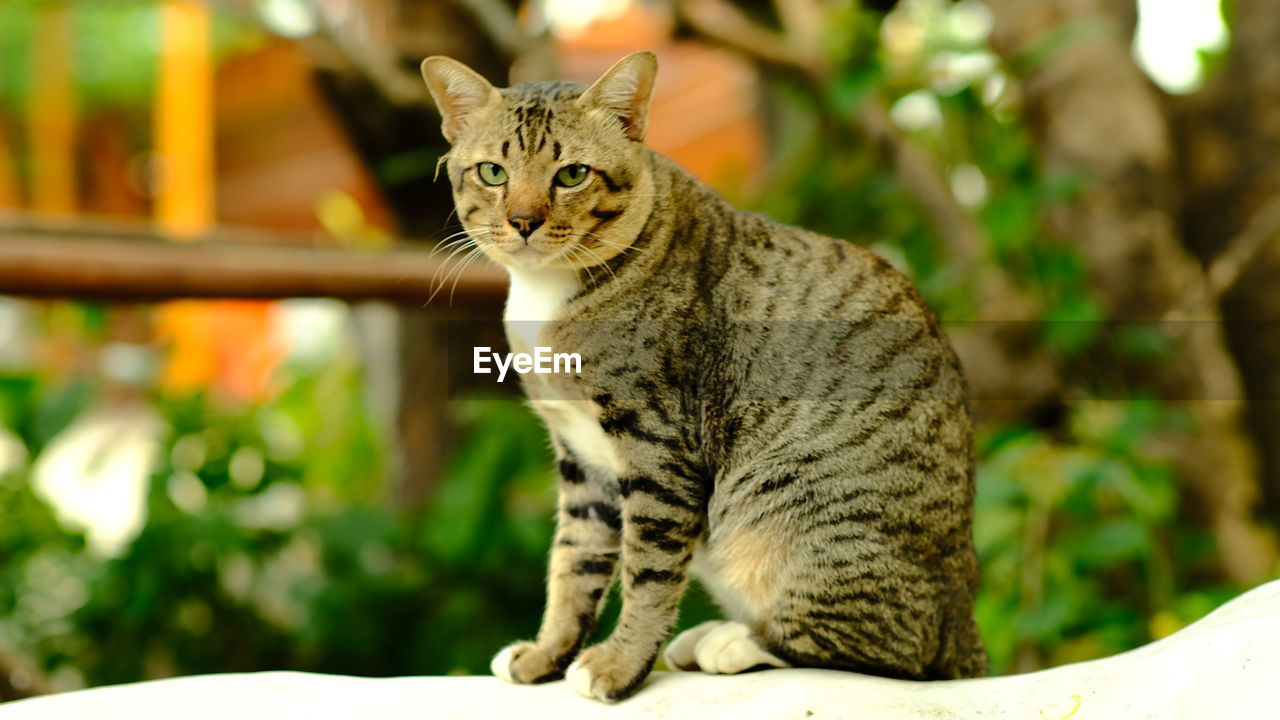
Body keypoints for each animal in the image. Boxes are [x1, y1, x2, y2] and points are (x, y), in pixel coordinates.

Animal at [422, 51, 988, 702]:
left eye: (572, 175)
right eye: (492, 172)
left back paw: (732, 641)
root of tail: (962, 617)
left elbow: (647, 572)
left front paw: (618, 665)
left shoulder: (658, 446)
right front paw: (548, 653)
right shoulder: (581, 457)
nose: (522, 221)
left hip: (785, 510)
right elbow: (572, 563)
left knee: (893, 650)